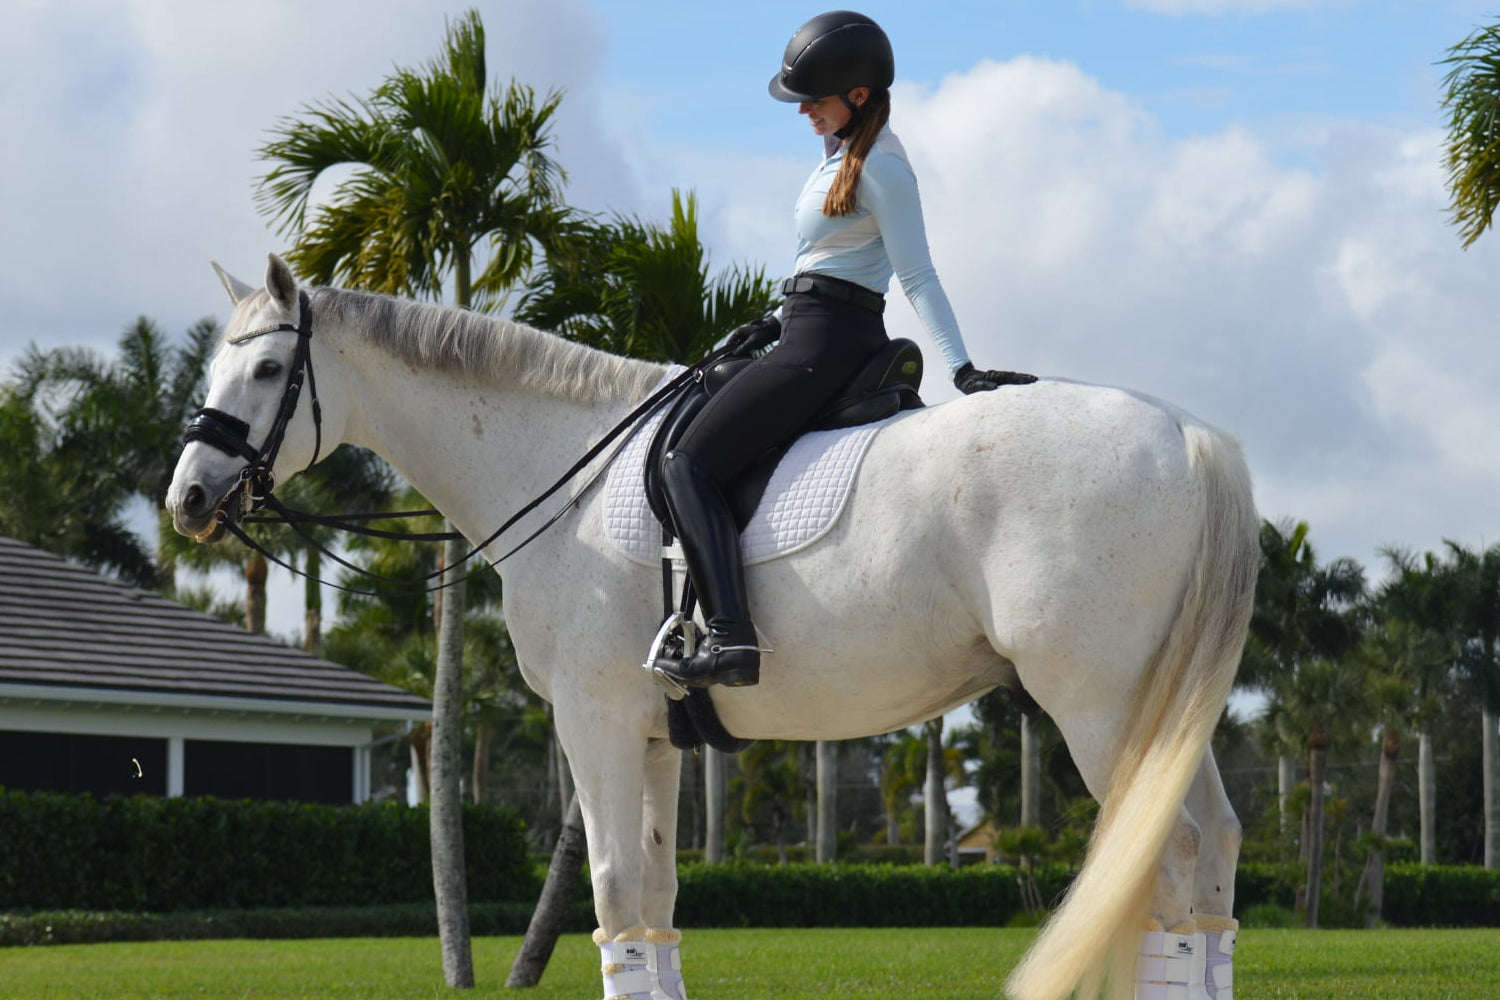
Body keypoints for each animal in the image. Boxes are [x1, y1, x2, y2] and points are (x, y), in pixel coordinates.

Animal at [167, 254, 1258, 1000]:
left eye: (266, 370)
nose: (188, 497)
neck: (564, 472)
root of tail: (1185, 433)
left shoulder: (596, 719)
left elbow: (612, 891)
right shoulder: (656, 736)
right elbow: (654, 900)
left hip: (1101, 707)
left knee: (1166, 852)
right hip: (1169, 709)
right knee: (1213, 852)